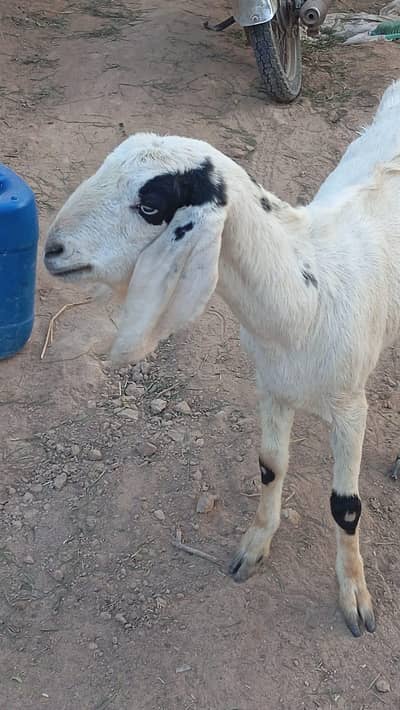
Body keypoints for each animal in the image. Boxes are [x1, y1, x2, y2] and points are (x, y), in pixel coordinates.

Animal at [44, 80, 400, 637]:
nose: (53, 250)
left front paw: (355, 598)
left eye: (151, 206)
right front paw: (254, 548)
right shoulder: (271, 385)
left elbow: (345, 507)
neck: (307, 294)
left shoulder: (350, 405)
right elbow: (271, 466)